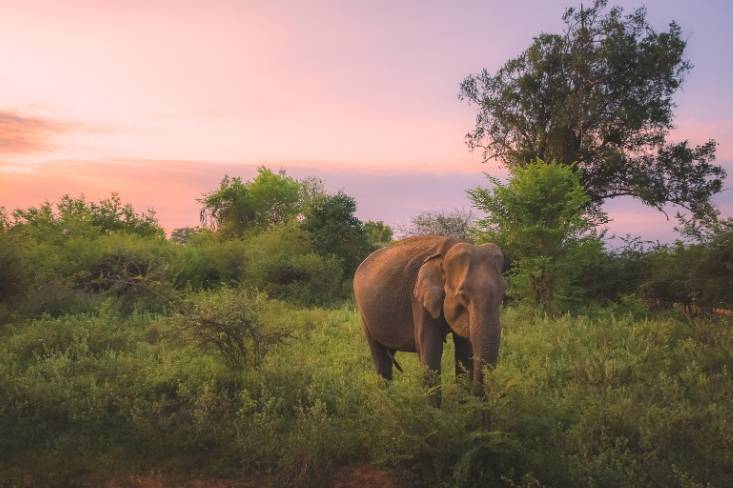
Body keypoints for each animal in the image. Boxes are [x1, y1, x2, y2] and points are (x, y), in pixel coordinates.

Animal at [354, 234, 504, 398]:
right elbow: (430, 352)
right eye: (463, 296)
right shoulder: (418, 298)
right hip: (364, 315)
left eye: (503, 294)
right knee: (380, 360)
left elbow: (464, 352)